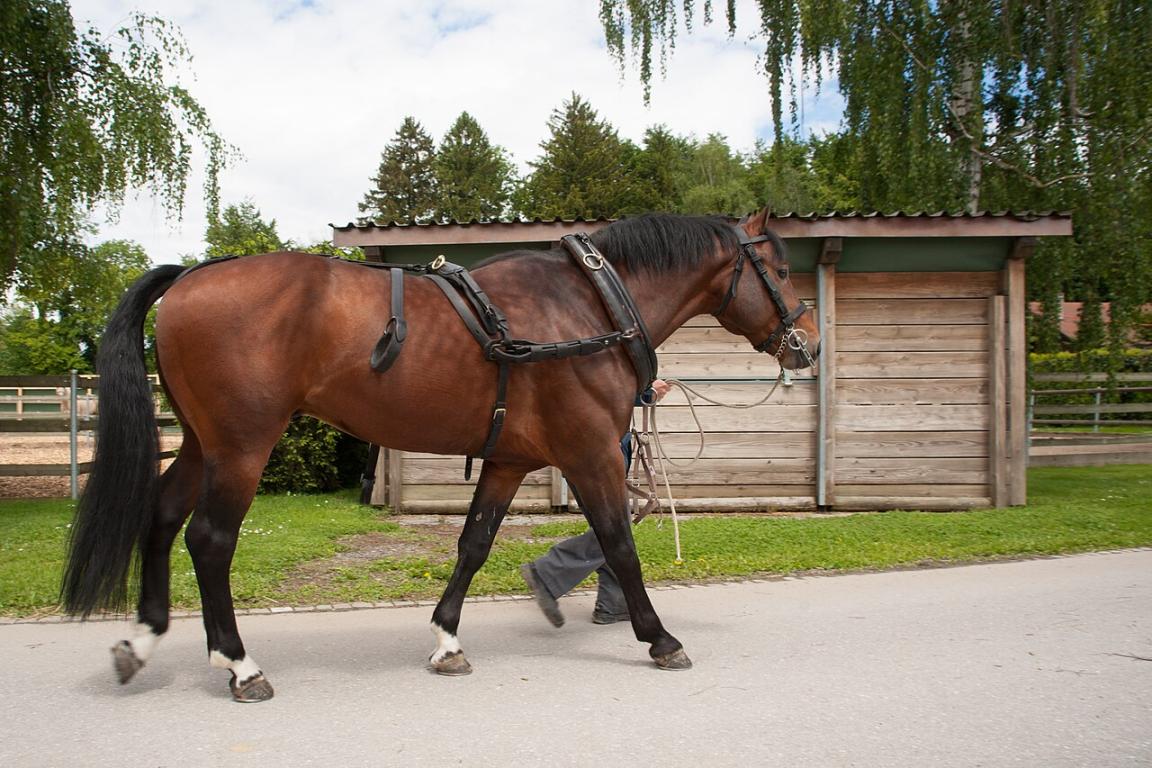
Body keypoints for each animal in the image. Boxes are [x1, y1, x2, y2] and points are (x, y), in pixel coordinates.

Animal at [61, 207, 819, 702]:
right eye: (780, 269)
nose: (807, 344)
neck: (588, 305)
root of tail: (189, 276)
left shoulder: (510, 460)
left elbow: (474, 544)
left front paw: (447, 641)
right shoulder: (591, 453)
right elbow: (618, 542)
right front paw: (660, 638)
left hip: (202, 442)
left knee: (161, 519)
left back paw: (142, 640)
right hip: (242, 445)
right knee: (210, 540)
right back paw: (240, 665)